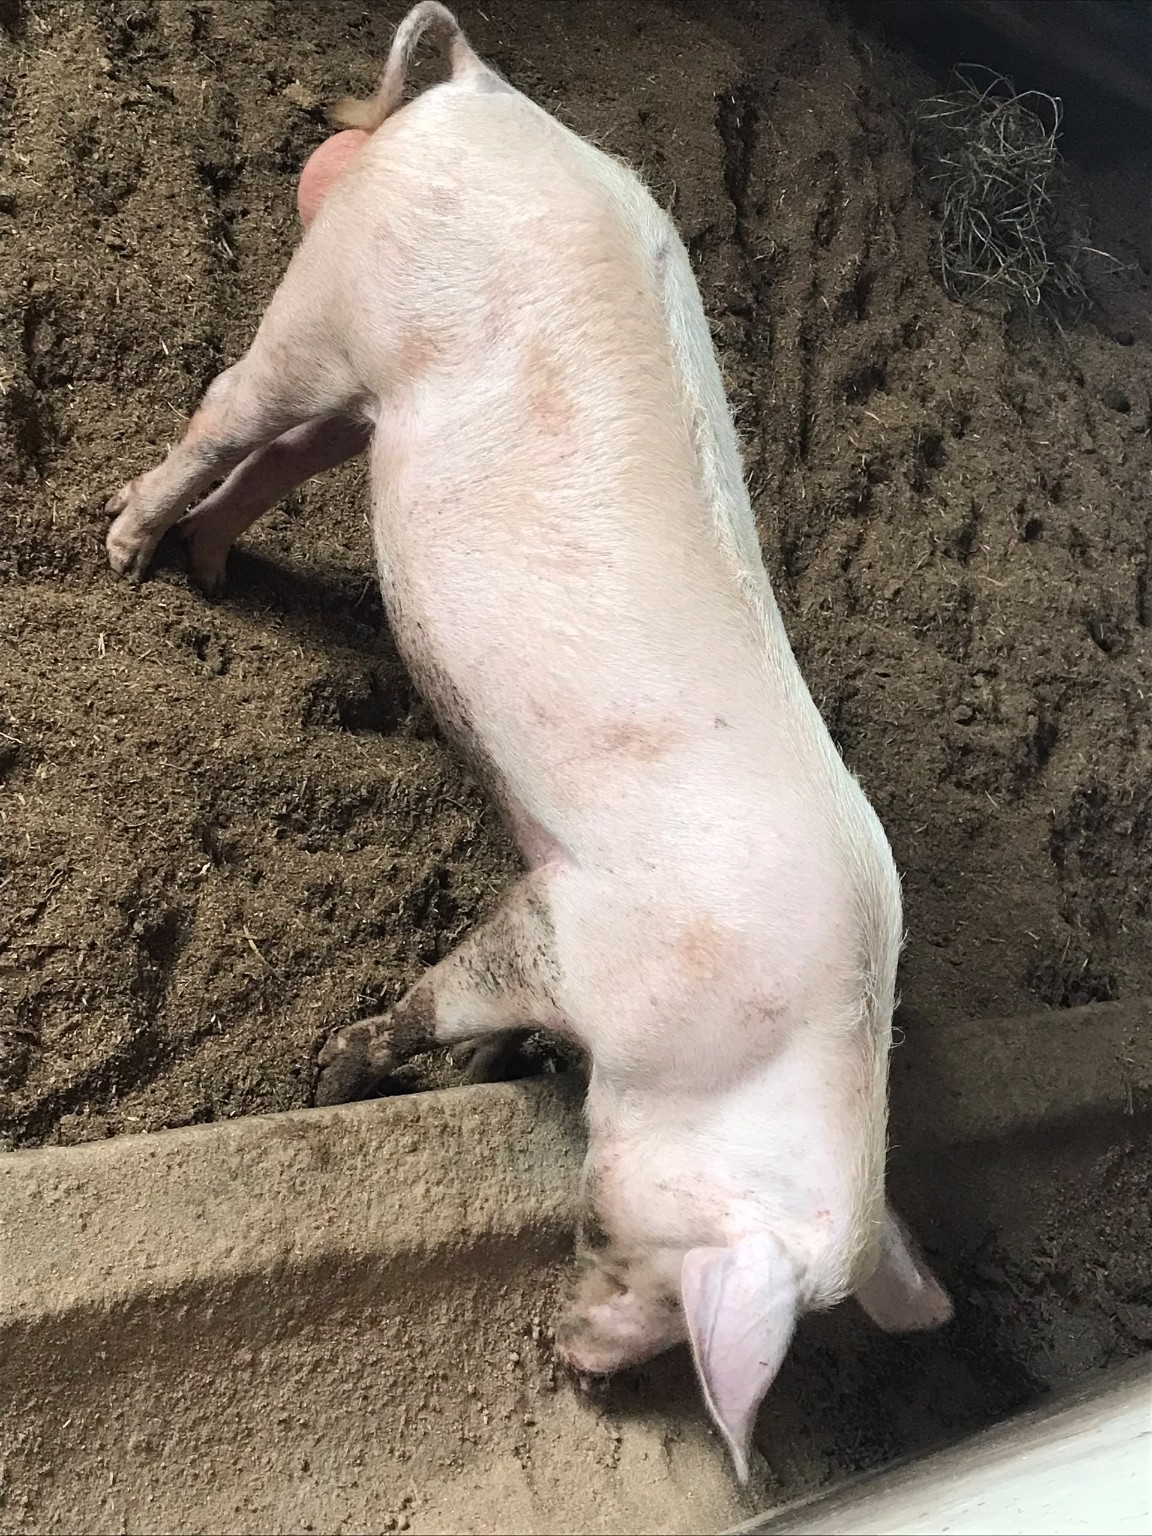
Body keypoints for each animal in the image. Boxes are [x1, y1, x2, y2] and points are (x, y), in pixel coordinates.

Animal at [104, 1, 952, 1481]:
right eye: (609, 1231)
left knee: (284, 460)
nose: (581, 1370)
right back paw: (123, 548)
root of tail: (485, 94)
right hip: (329, 302)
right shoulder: (567, 927)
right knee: (227, 407)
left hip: (369, 395)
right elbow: (445, 995)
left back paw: (205, 571)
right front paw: (341, 1070)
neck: (730, 1046)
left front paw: (495, 1071)